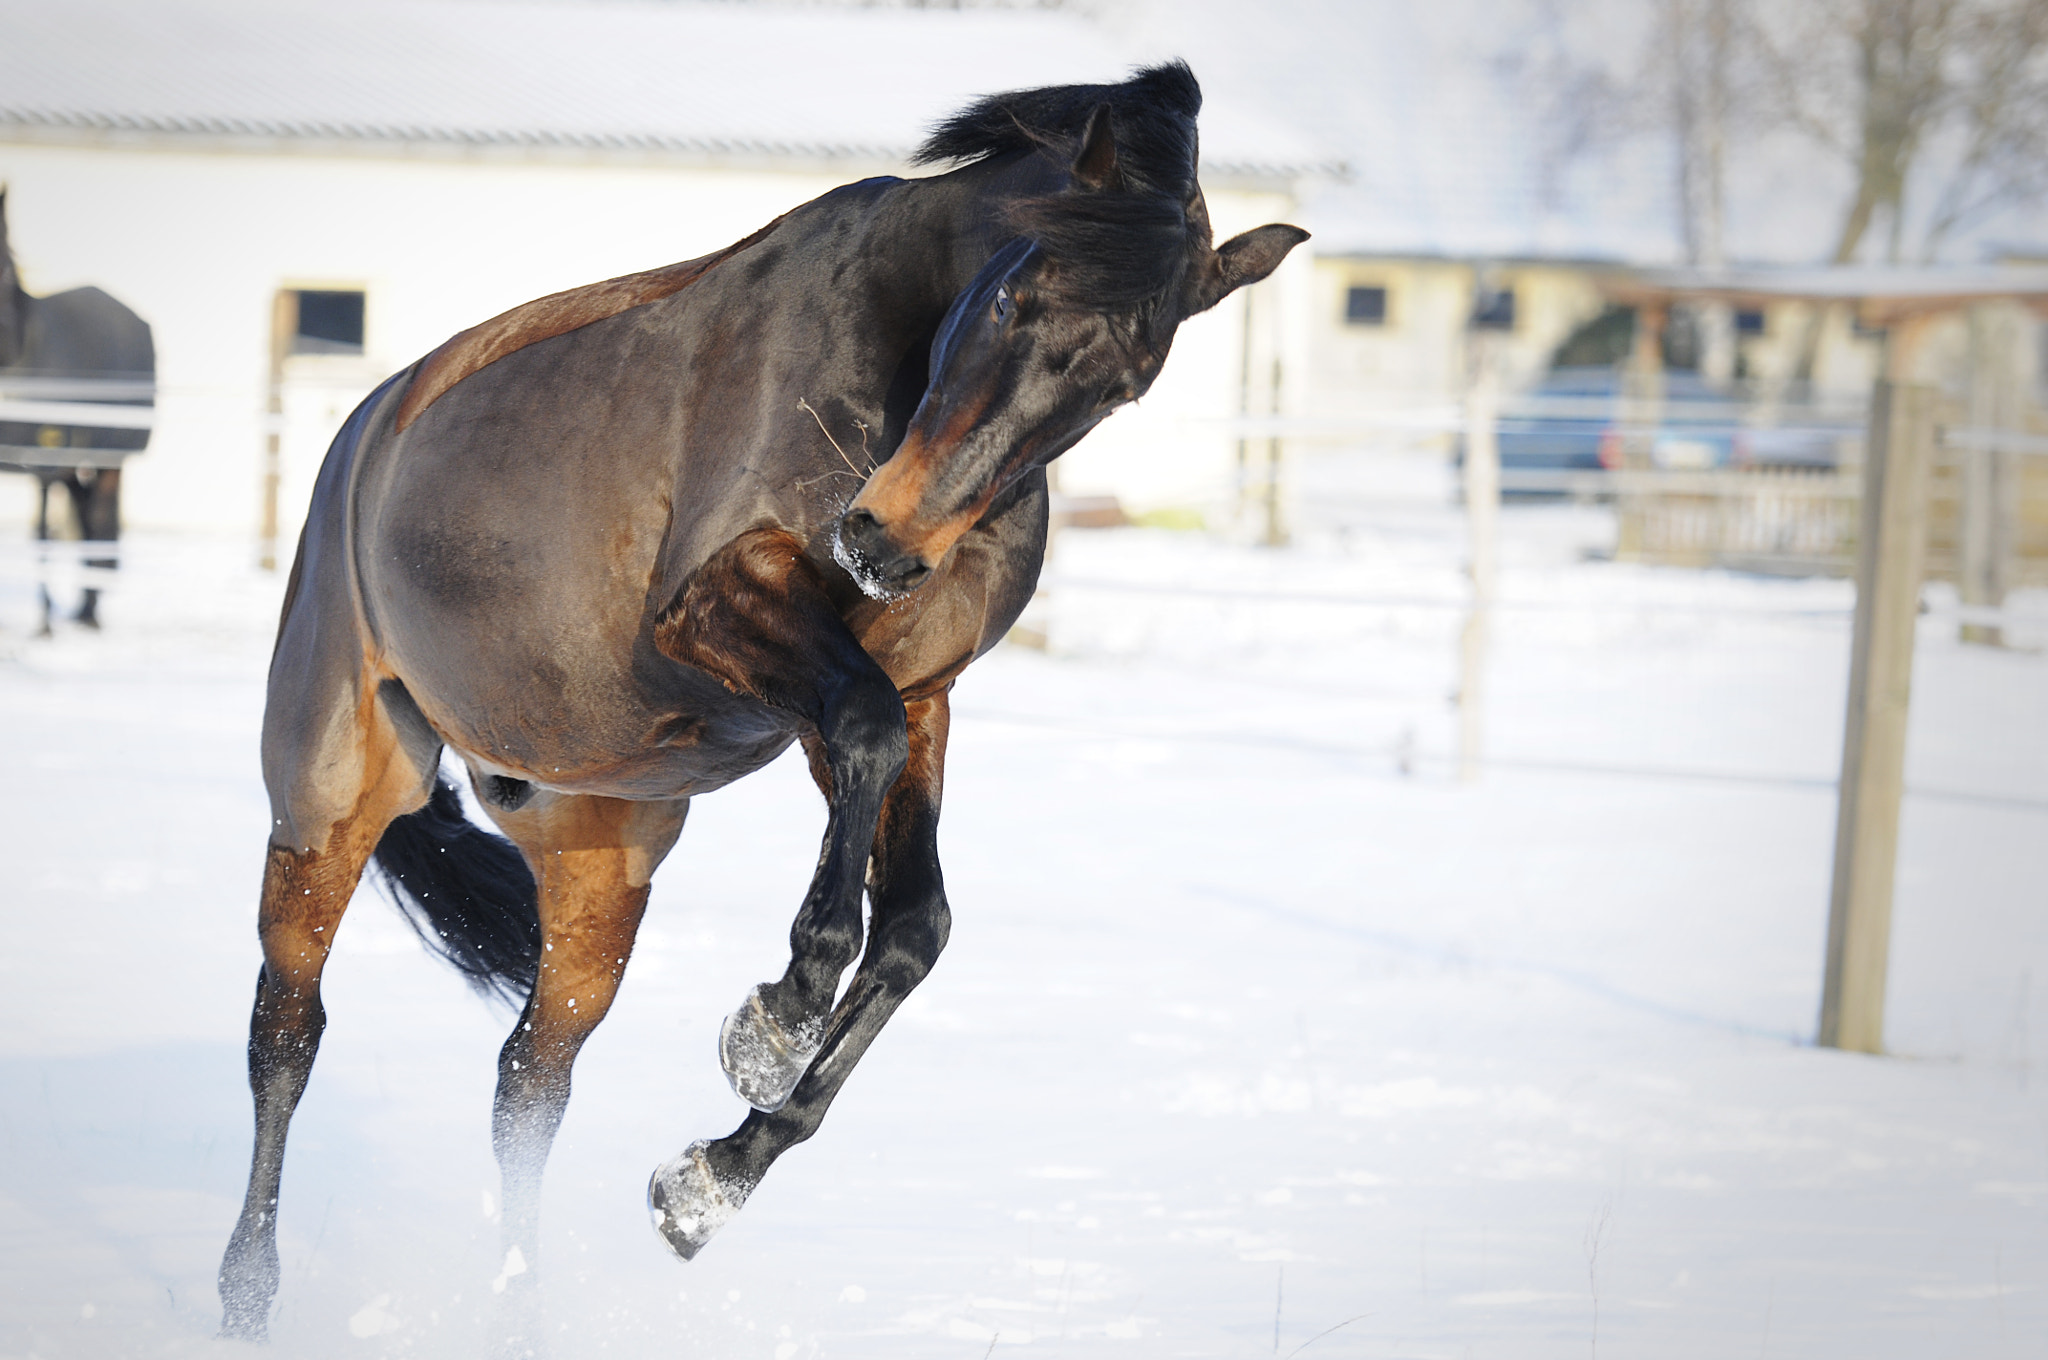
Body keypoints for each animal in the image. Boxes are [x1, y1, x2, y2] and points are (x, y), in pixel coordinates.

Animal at [0, 189, 155, 631]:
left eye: (6, 269)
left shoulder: (43, 464)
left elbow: (42, 535)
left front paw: (44, 624)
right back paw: (83, 608)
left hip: (108, 461)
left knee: (99, 522)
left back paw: (87, 612)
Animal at [216, 60, 1306, 1344]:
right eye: (1013, 296)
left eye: (1125, 382)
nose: (881, 538)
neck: (887, 352)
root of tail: (365, 429)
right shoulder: (730, 612)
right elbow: (863, 804)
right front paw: (775, 1020)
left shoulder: (907, 692)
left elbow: (915, 924)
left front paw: (706, 1181)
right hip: (334, 792)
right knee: (288, 1035)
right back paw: (246, 1296)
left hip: (597, 857)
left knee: (530, 1078)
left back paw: (519, 1307)